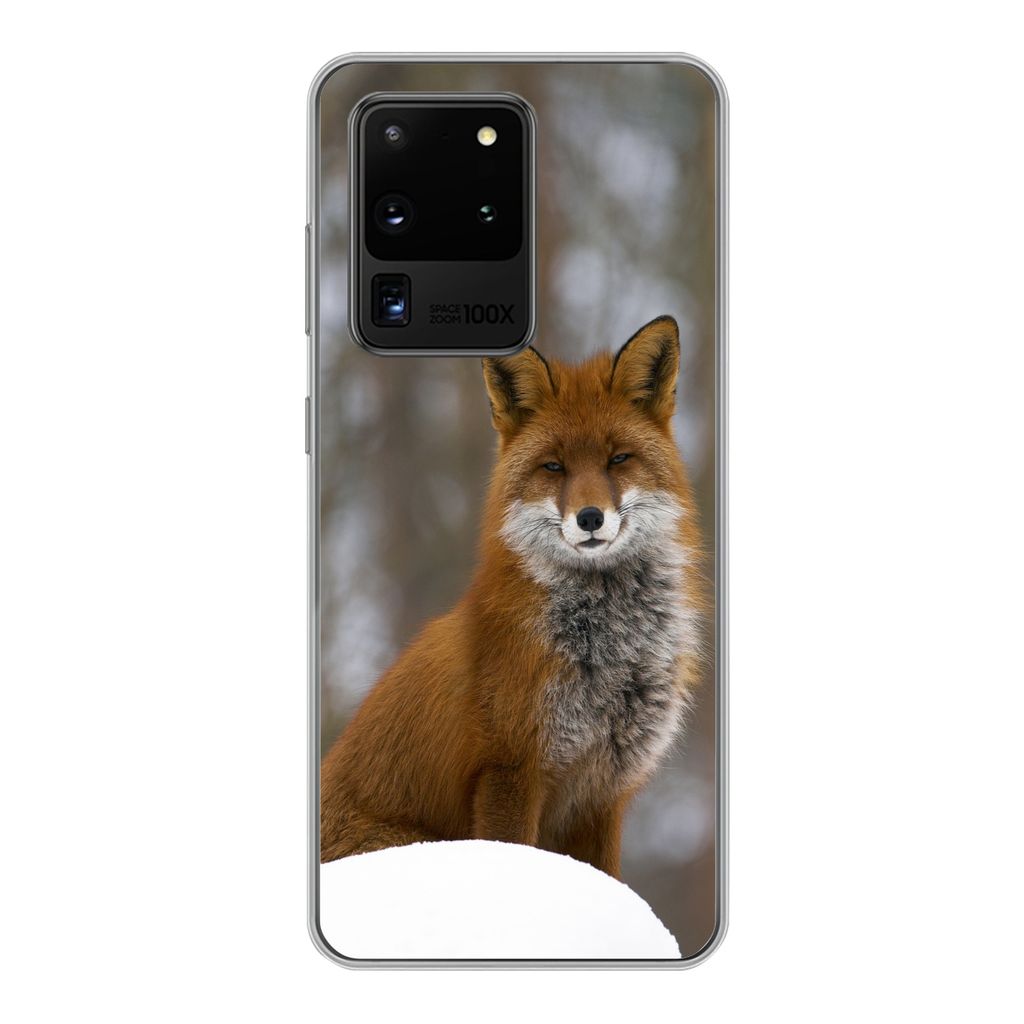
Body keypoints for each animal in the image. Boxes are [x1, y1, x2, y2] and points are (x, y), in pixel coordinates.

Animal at [320, 315, 705, 879]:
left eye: (618, 459)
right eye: (554, 467)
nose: (590, 518)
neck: (607, 654)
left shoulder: (602, 794)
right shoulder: (510, 770)